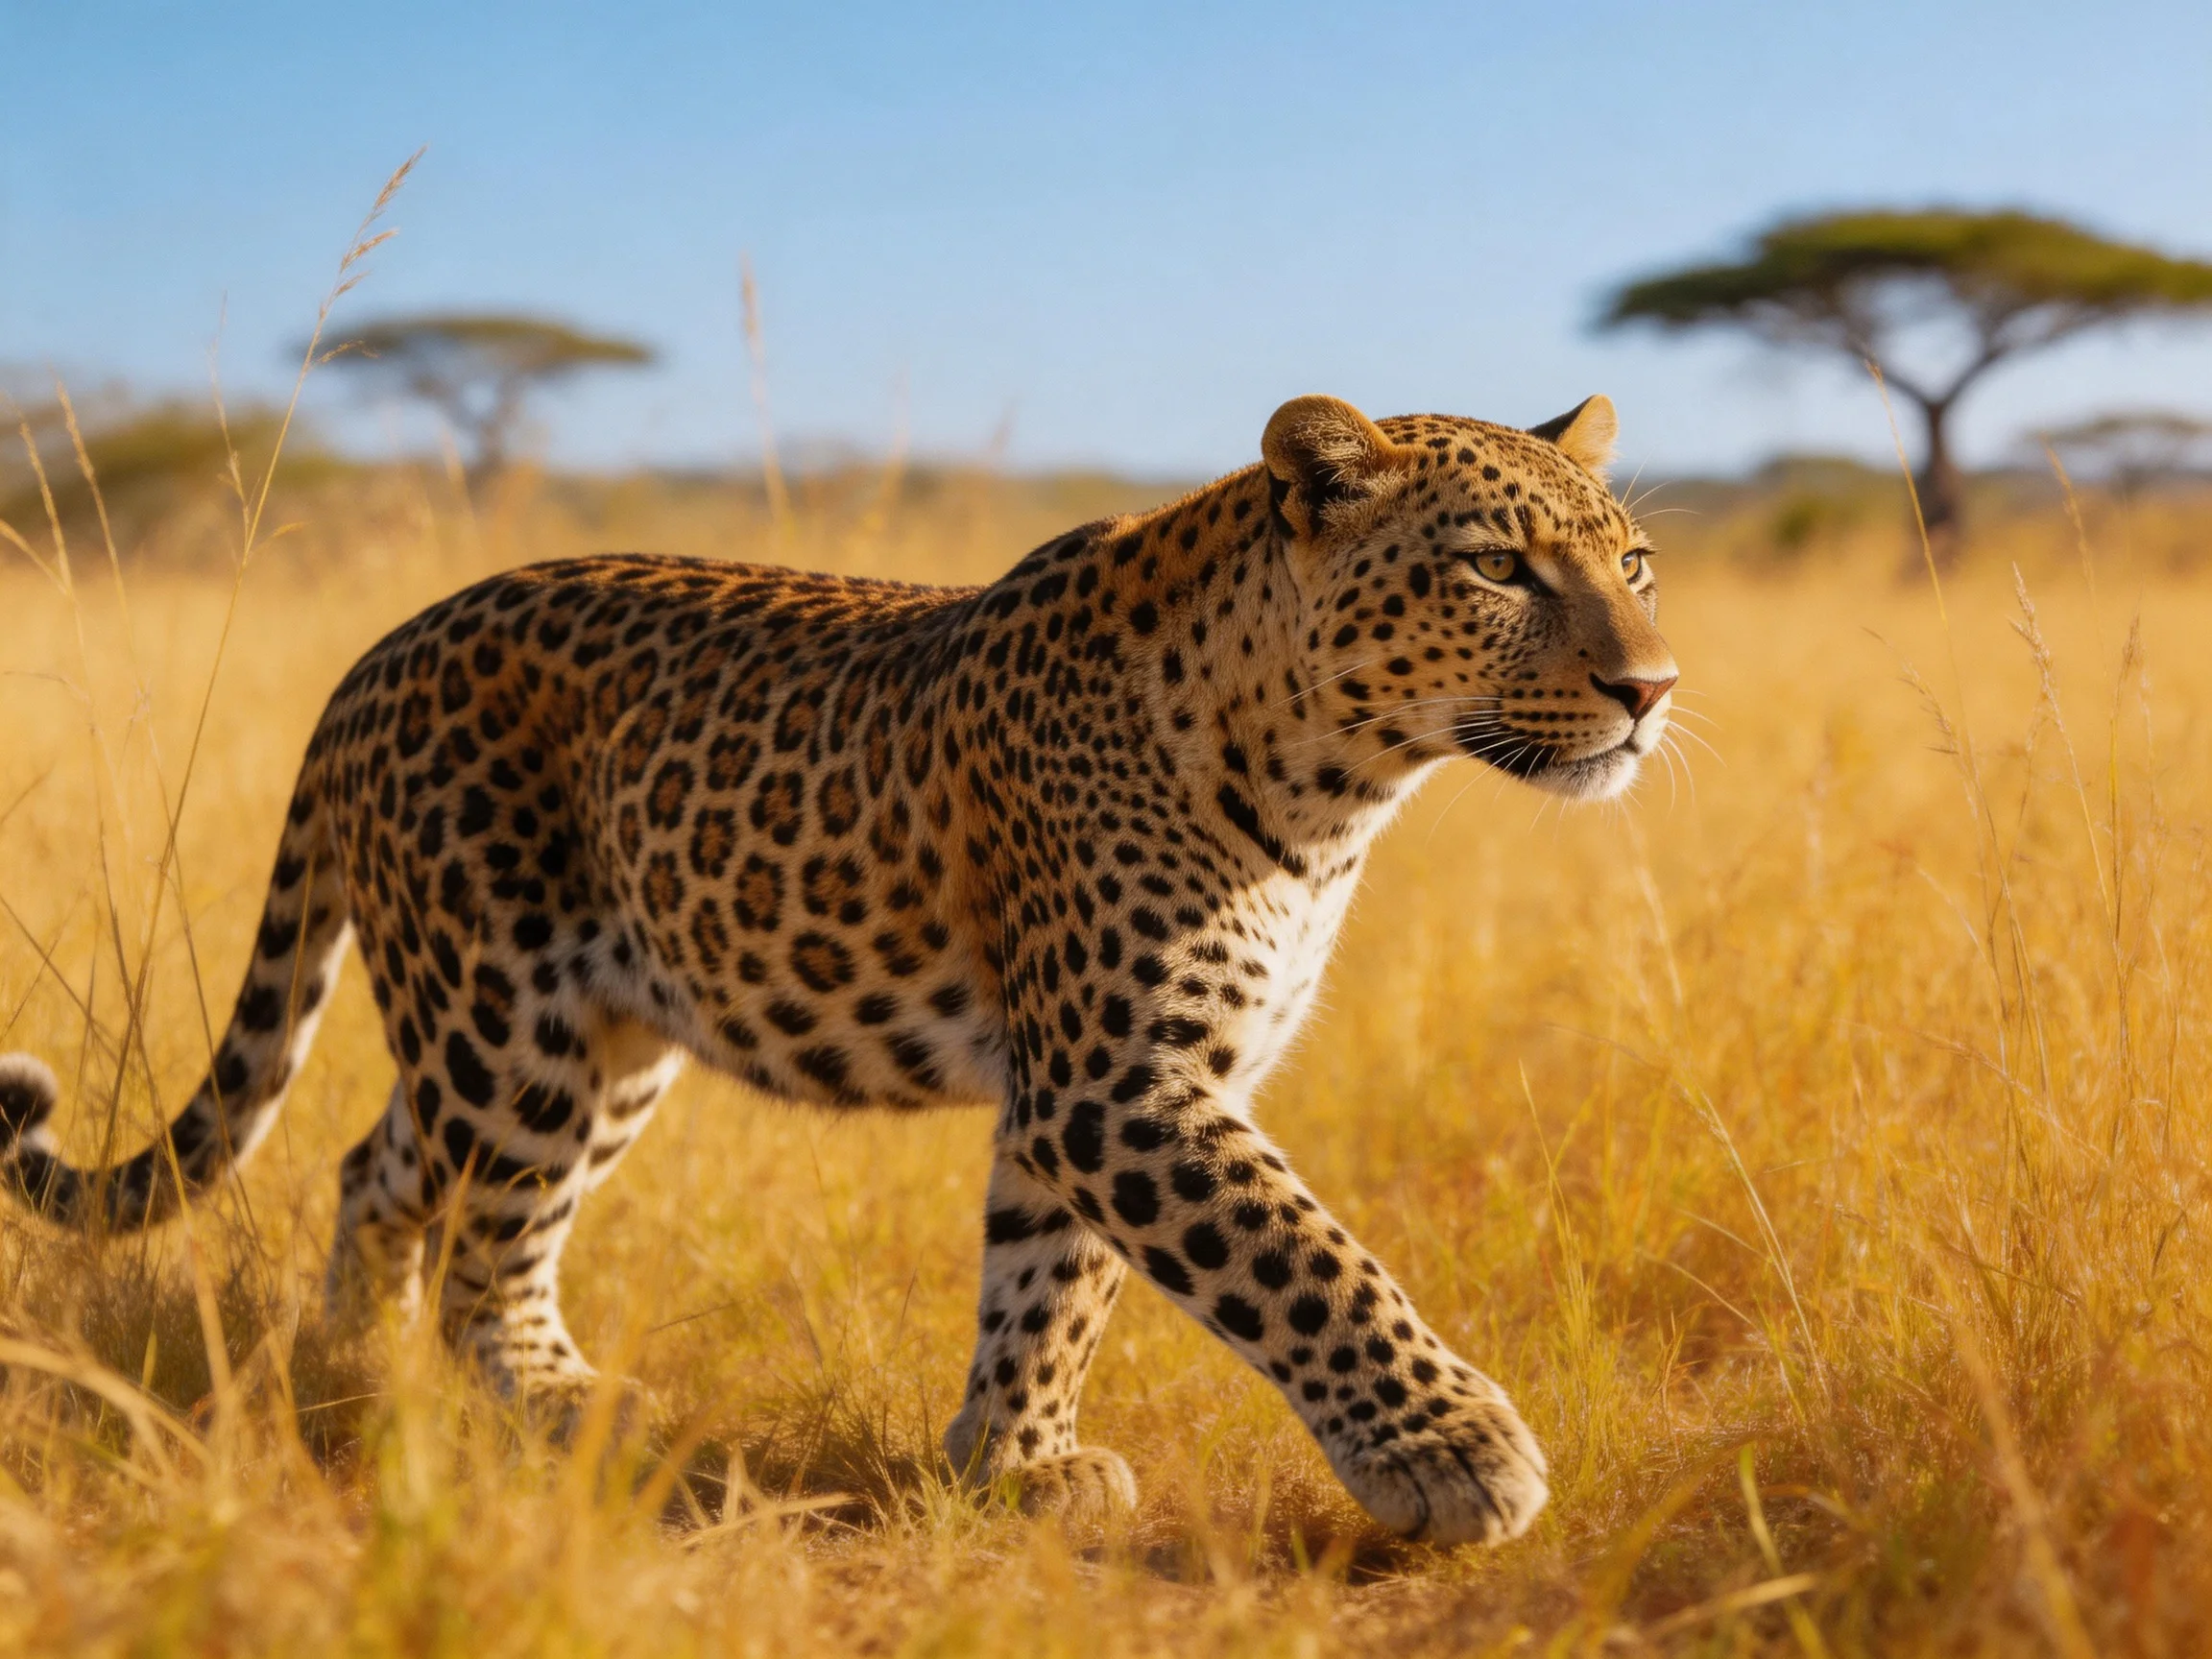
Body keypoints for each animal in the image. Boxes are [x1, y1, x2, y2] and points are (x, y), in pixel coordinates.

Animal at [0, 392, 1676, 1545]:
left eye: (1636, 561)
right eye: (1498, 567)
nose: (1652, 689)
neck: (1337, 794)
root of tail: (376, 652)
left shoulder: (1100, 1095)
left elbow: (1051, 1284)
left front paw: (1015, 1468)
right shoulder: (1119, 1085)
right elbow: (1301, 1260)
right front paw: (1451, 1454)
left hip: (590, 1027)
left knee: (384, 1163)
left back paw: (343, 1361)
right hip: (512, 1023)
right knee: (487, 1248)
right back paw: (553, 1403)